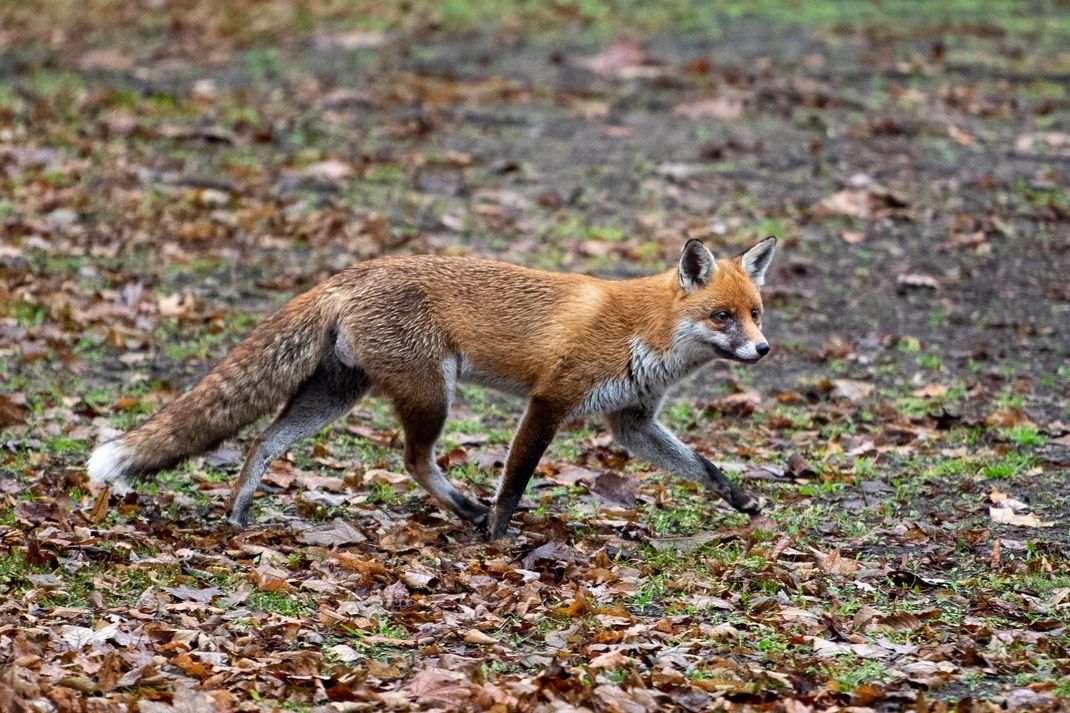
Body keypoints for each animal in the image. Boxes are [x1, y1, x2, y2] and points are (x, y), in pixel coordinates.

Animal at [87, 235, 778, 535]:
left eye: (756, 312)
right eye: (723, 316)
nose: (763, 349)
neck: (646, 331)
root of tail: (354, 271)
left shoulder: (631, 421)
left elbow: (703, 467)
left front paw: (742, 499)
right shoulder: (551, 399)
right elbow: (515, 481)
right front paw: (498, 534)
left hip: (339, 395)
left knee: (263, 442)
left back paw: (237, 513)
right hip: (431, 393)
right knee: (413, 459)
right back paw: (465, 511)